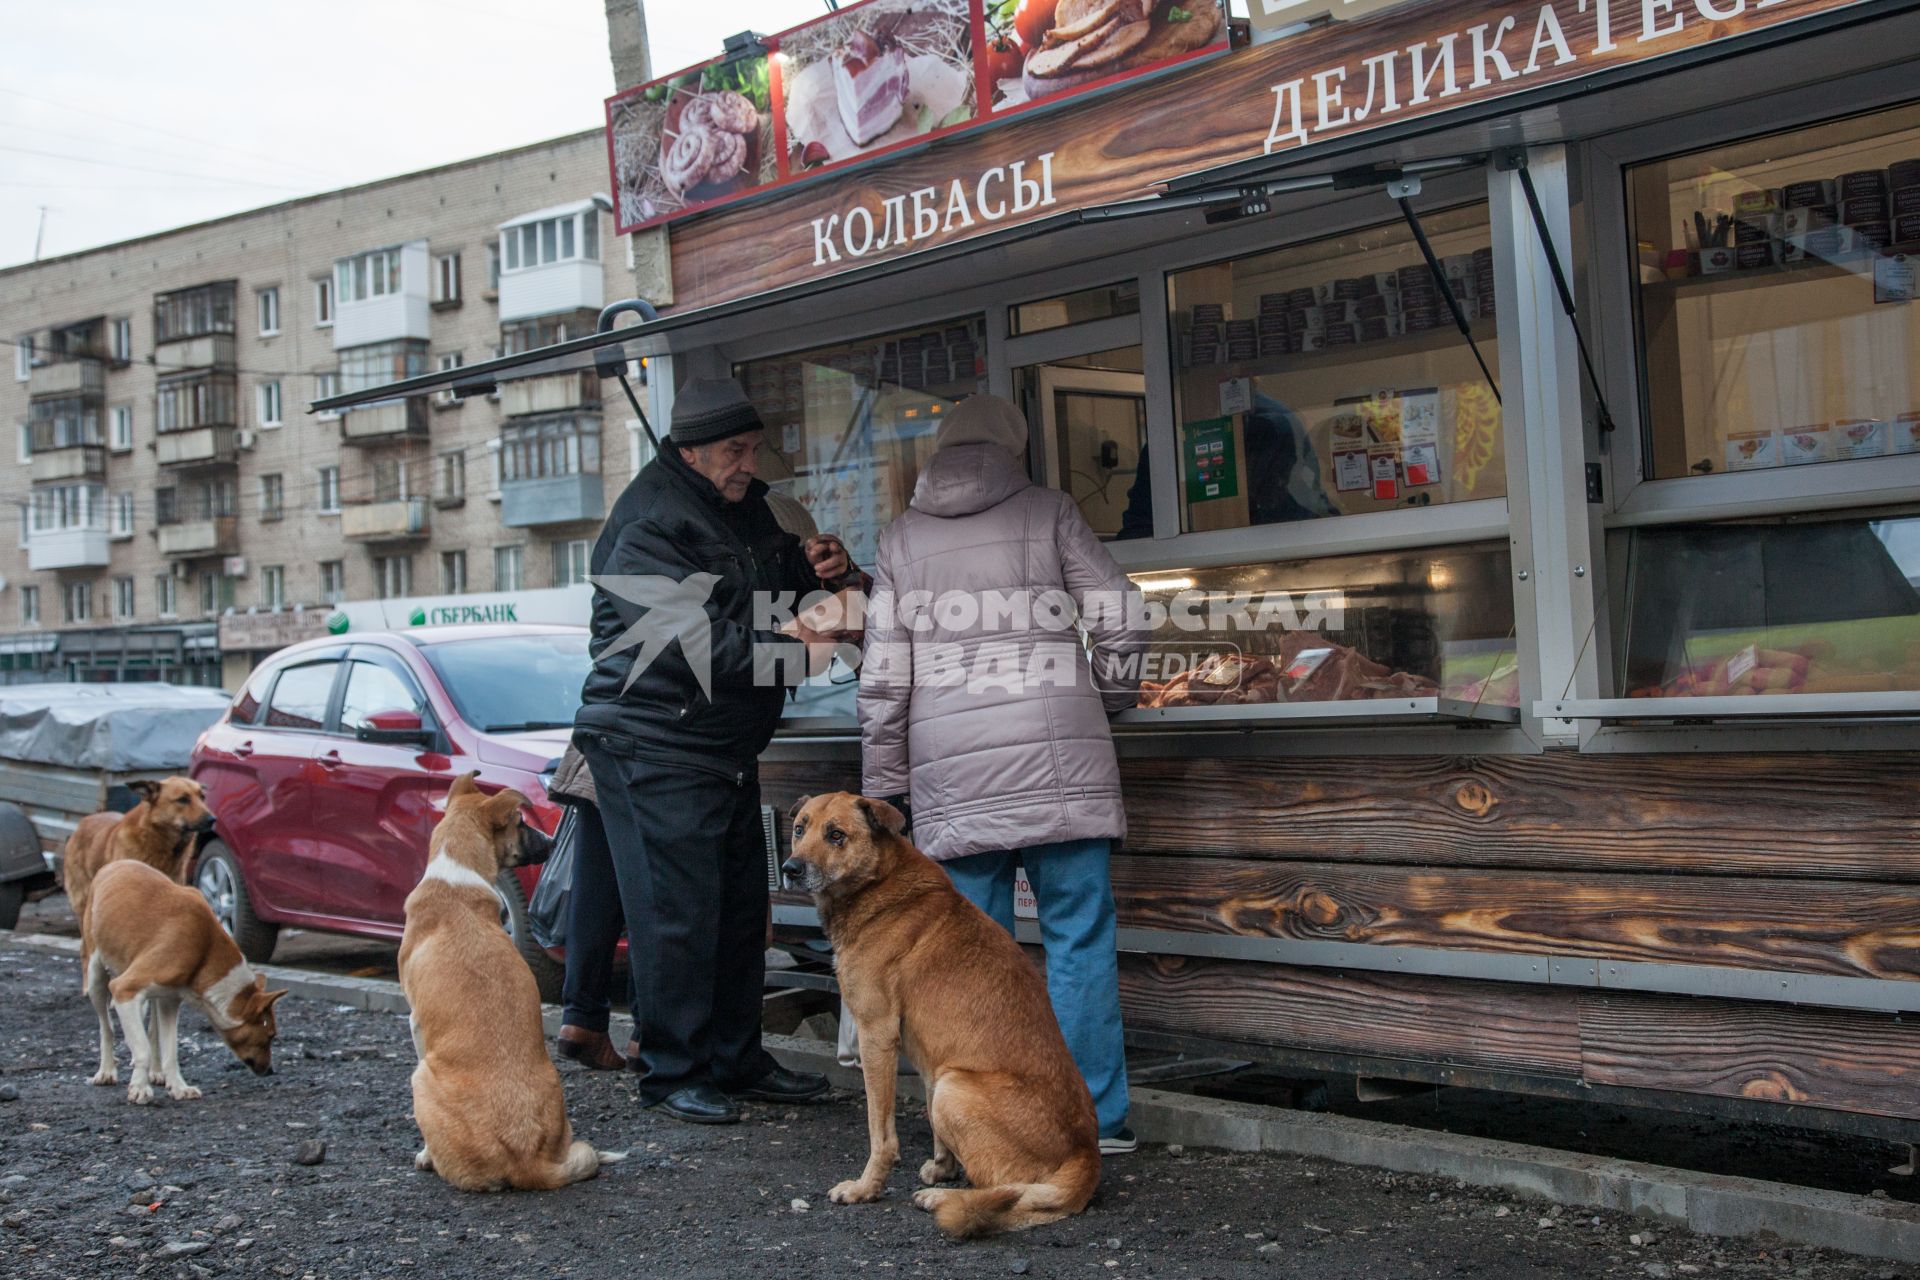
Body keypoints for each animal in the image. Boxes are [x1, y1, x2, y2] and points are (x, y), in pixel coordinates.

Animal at [82, 855, 282, 1105]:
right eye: (270, 1036)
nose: (272, 1070)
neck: (203, 949)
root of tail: (118, 863)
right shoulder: (124, 990)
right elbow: (141, 1048)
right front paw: (140, 1089)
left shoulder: (169, 1001)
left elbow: (170, 1050)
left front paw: (178, 1087)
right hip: (96, 978)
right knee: (106, 1027)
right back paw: (107, 1071)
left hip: (152, 994)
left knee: (151, 1032)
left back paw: (156, 1072)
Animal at [399, 767, 614, 1197]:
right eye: (520, 823)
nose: (552, 842)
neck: (457, 873)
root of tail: (529, 1160)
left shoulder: (415, 1022)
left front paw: (423, 1155)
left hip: (421, 1077)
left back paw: (431, 1158)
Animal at [787, 794, 1105, 1235]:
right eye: (799, 829)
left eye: (836, 835)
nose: (790, 869)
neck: (880, 883)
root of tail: (1085, 1154)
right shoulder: (926, 1061)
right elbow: (933, 1128)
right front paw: (942, 1168)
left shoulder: (876, 1035)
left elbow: (880, 1132)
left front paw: (866, 1189)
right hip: (945, 1082)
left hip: (955, 1086)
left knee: (1003, 1187)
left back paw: (943, 1200)